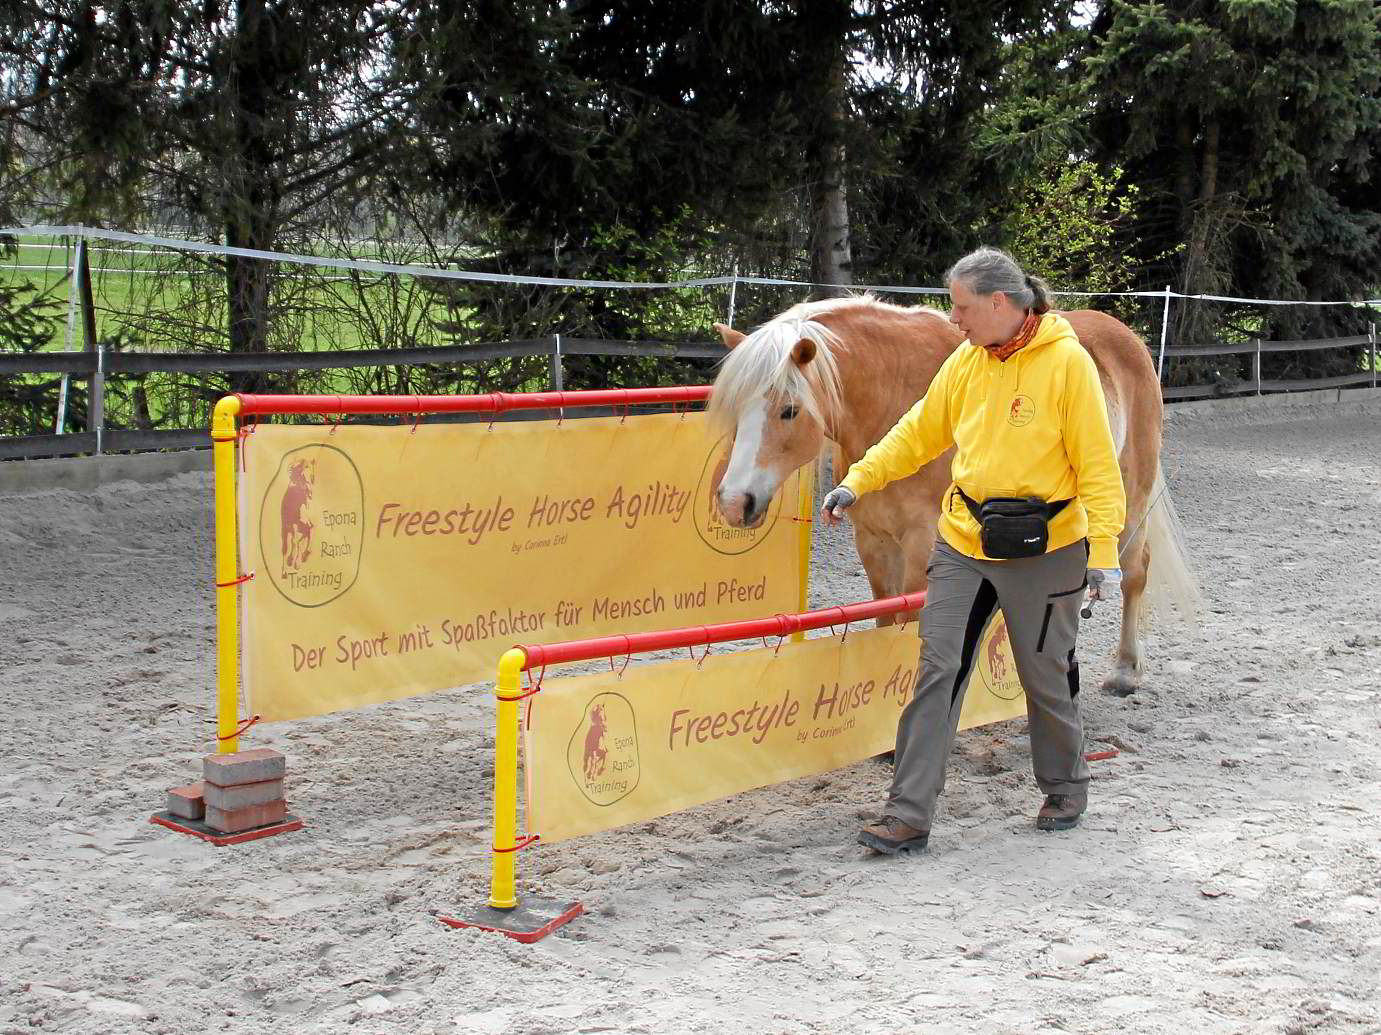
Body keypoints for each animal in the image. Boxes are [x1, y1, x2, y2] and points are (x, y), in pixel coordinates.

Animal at [706, 295, 1198, 695]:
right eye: (735, 408)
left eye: (788, 410)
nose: (734, 502)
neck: (896, 398)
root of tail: (1126, 338)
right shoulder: (874, 540)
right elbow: (885, 617)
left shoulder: (922, 542)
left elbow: (909, 622)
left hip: (1128, 499)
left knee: (1134, 572)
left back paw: (1125, 671)